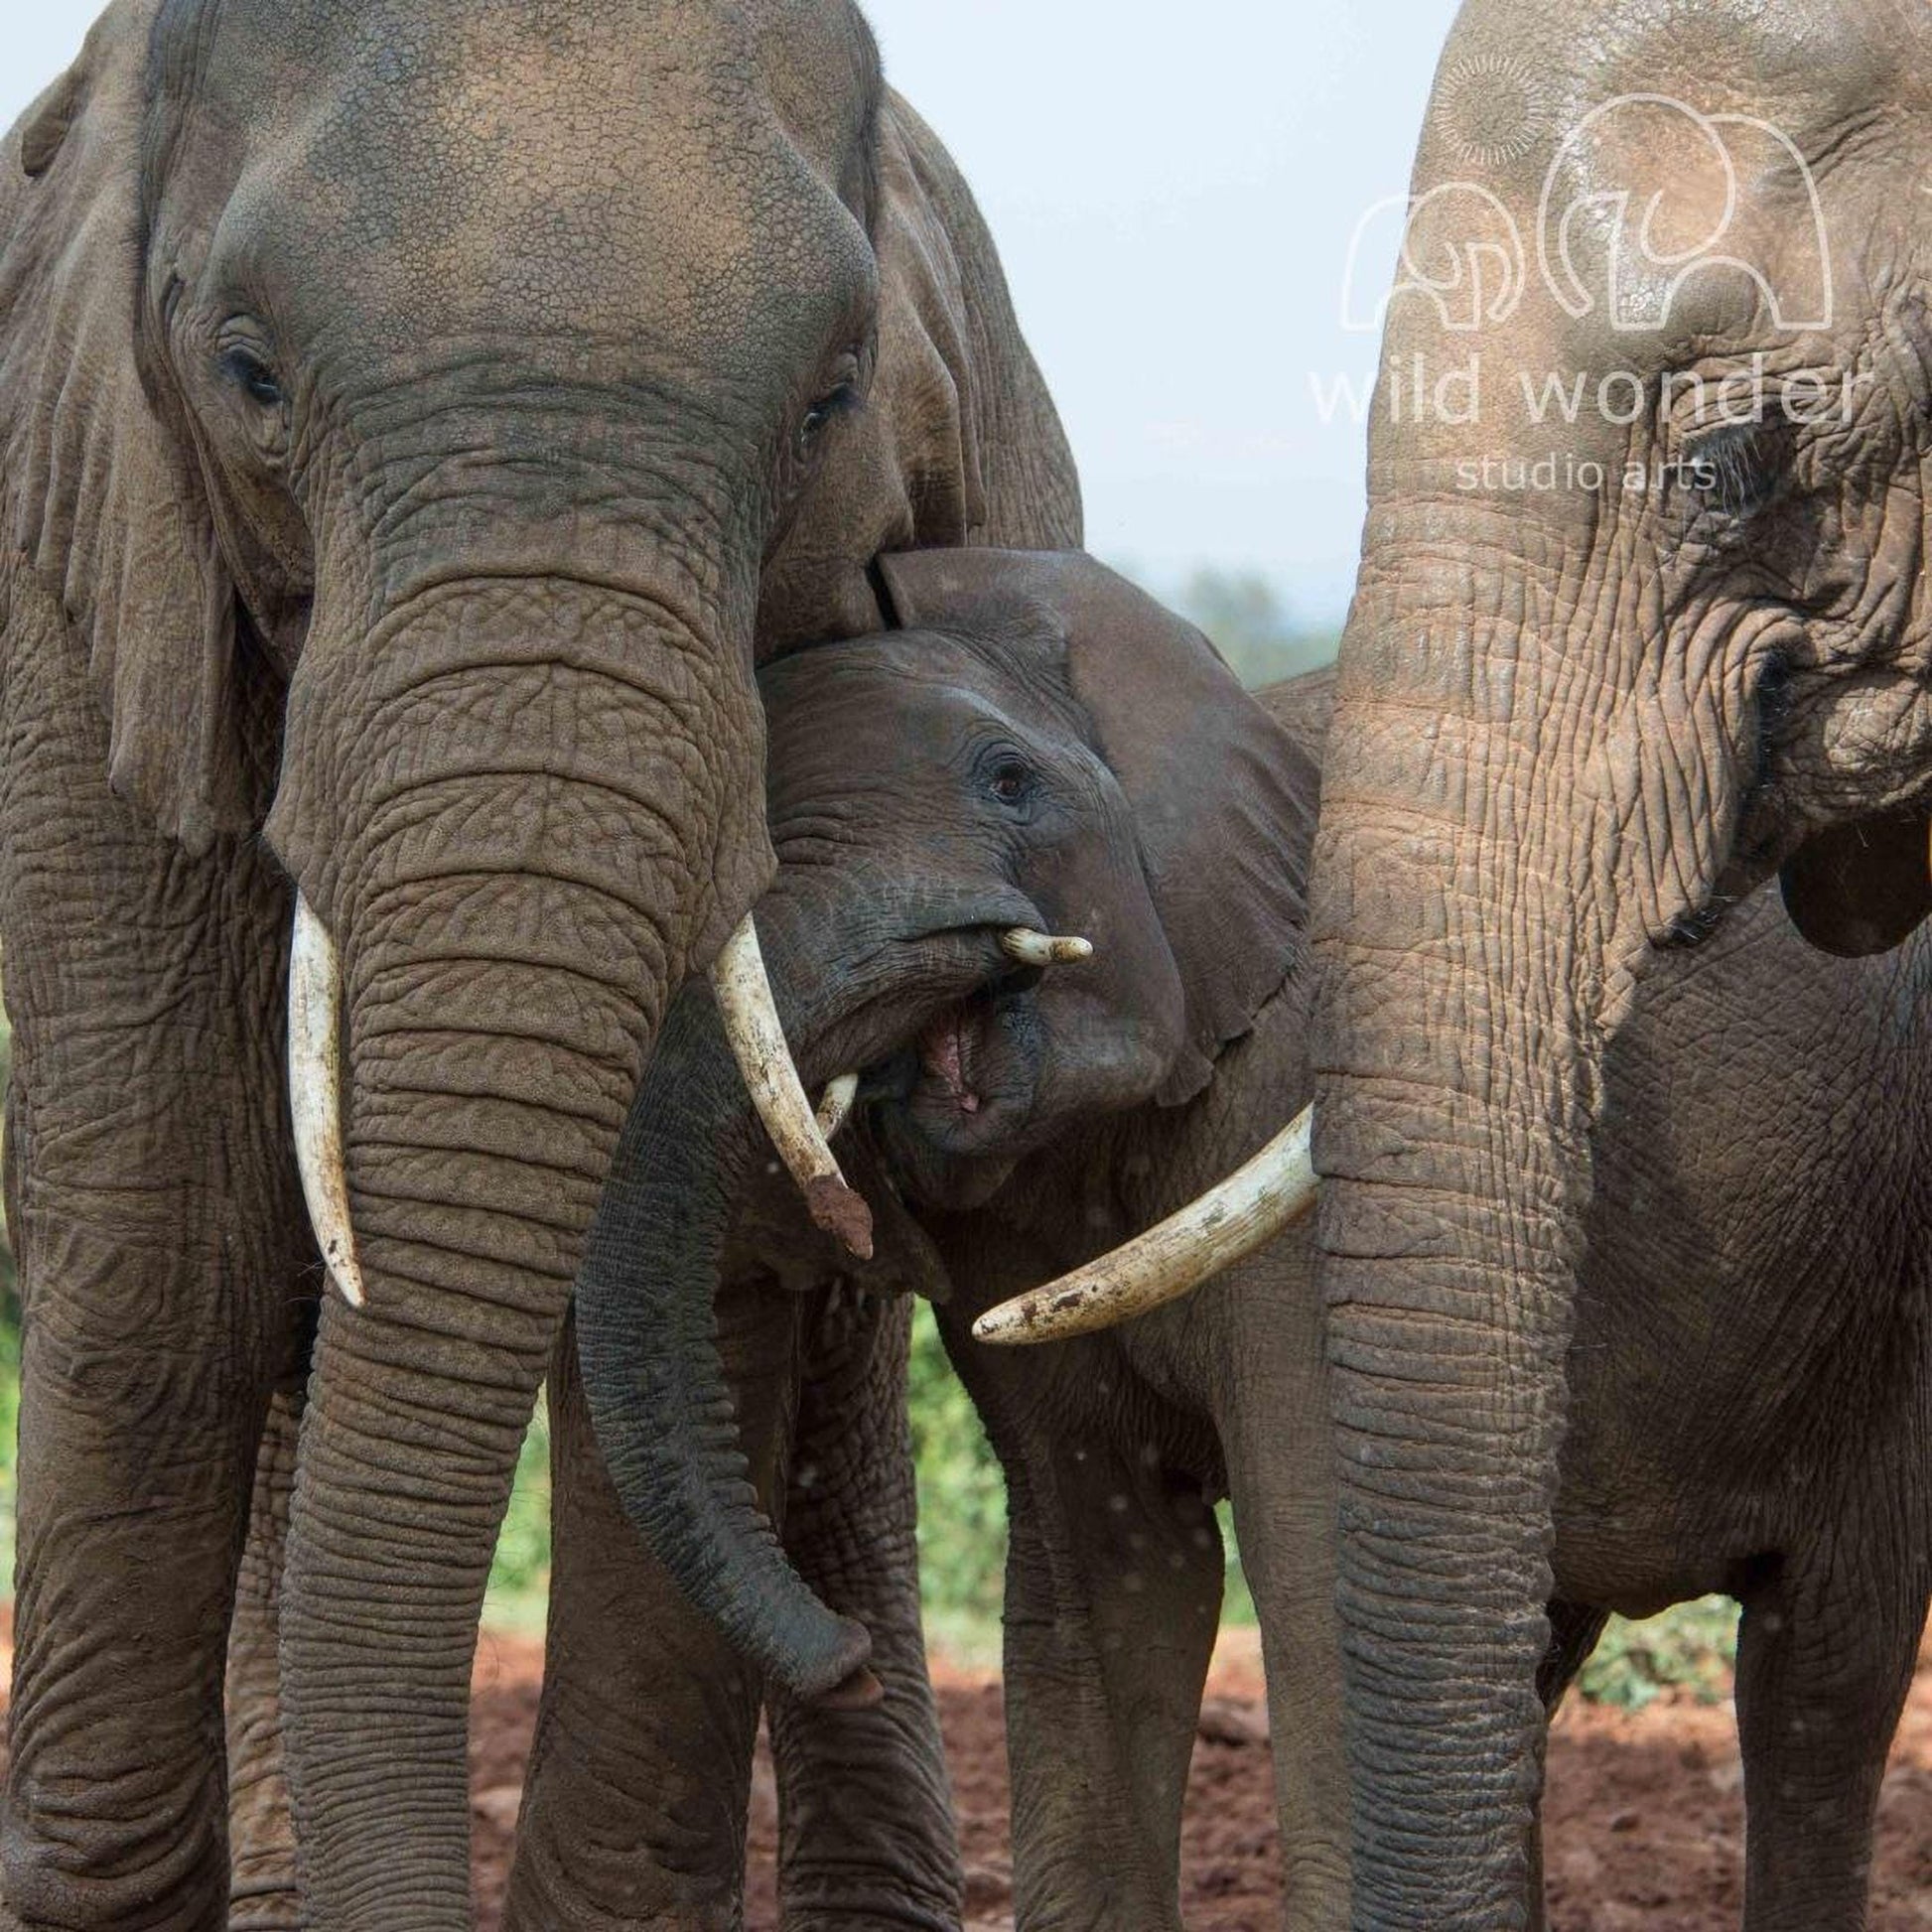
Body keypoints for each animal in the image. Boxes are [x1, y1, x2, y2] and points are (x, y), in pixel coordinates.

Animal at [0, 0, 1077, 1921]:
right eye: (245, 371)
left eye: (830, 403)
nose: (821, 1659)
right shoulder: (84, 594)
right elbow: (168, 1252)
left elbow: (686, 1277)